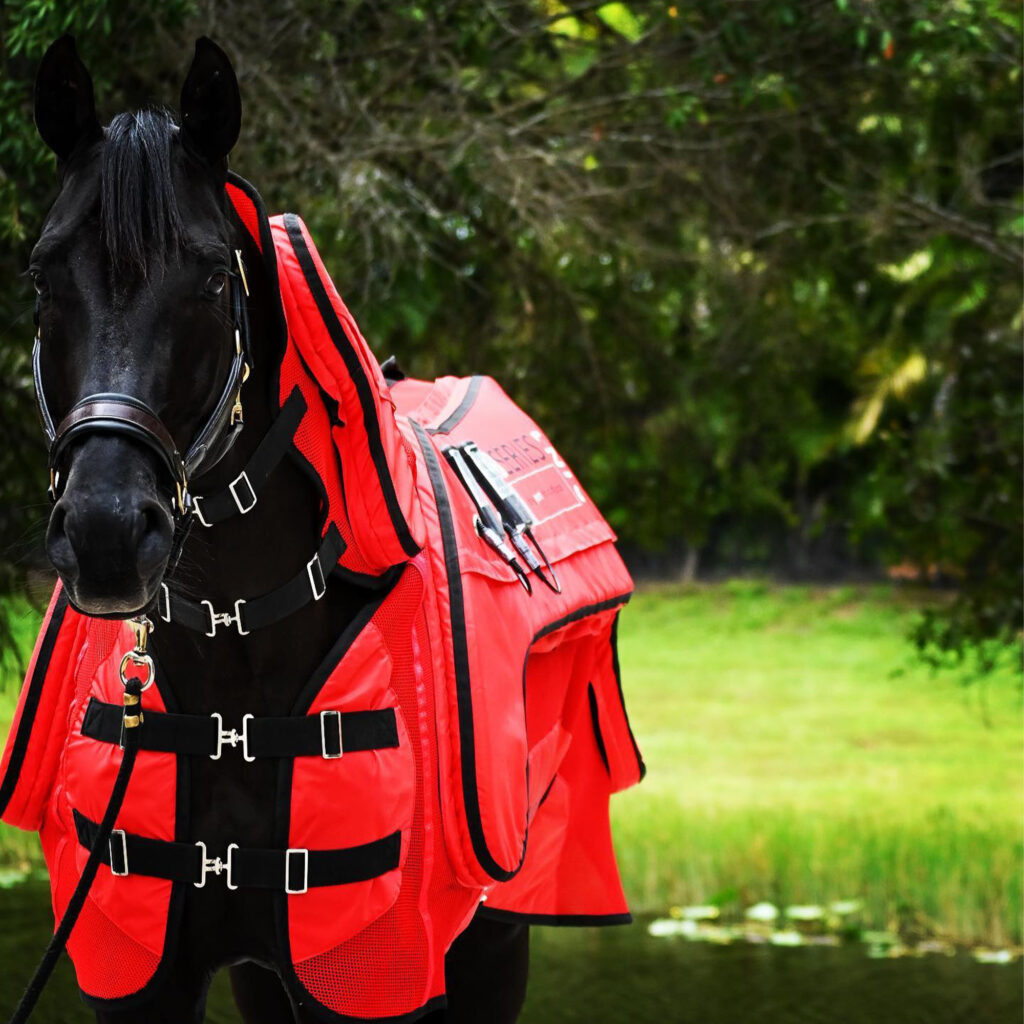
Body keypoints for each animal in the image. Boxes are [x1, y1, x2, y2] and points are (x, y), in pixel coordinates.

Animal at [6, 34, 642, 1024]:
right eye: (42, 273)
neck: (236, 663)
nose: (107, 533)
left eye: (211, 275)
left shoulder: (375, 973)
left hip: (494, 941)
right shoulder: (136, 972)